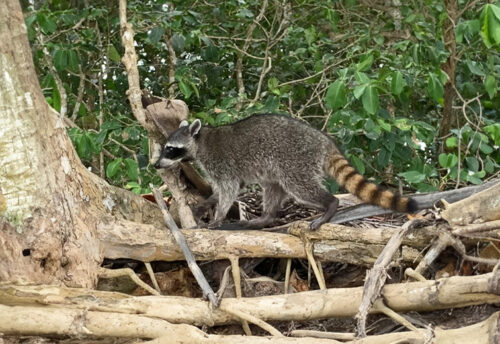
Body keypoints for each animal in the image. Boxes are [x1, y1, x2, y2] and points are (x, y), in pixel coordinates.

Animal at [153, 114, 418, 230]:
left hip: (295, 160)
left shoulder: (220, 162)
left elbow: (229, 189)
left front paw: (217, 217)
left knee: (299, 187)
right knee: (273, 188)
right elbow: (230, 188)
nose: (156, 165)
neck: (200, 140)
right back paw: (265, 218)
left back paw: (330, 205)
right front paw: (206, 204)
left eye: (171, 149)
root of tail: (323, 141)